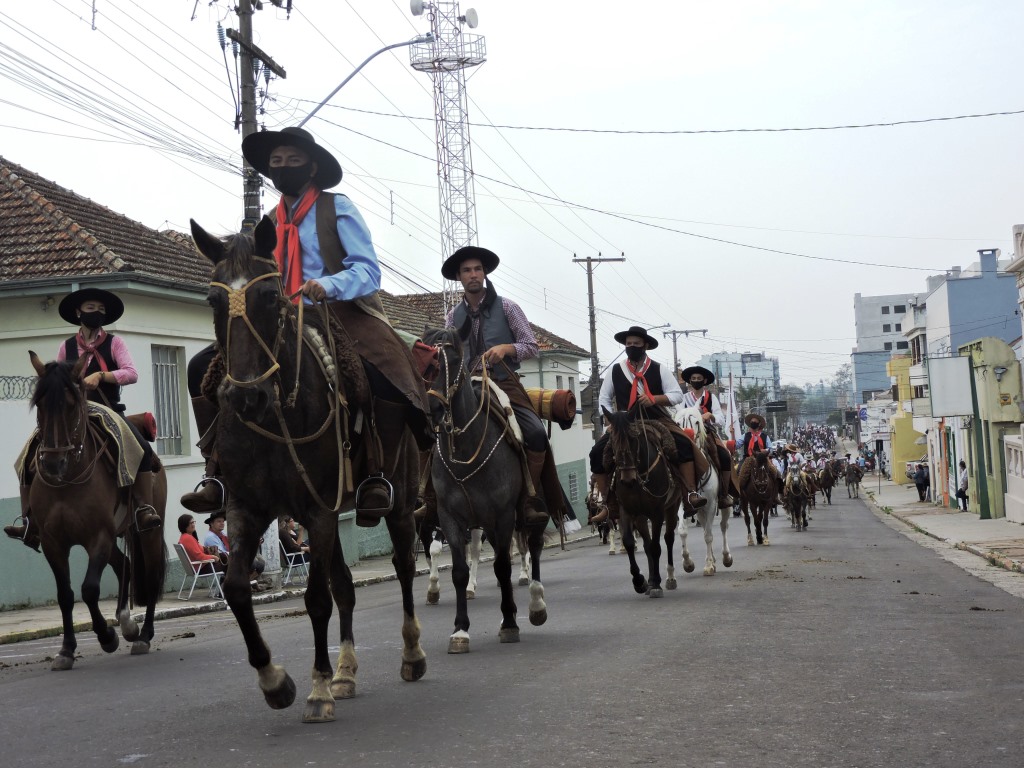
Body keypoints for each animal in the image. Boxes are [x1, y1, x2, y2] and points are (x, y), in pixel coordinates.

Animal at [25, 352, 167, 671]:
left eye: (70, 404)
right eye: (39, 404)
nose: (52, 464)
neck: (67, 480)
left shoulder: (98, 537)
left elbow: (89, 589)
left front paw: (107, 637)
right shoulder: (53, 543)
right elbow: (65, 595)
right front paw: (66, 650)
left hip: (149, 531)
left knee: (151, 576)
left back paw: (143, 635)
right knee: (123, 563)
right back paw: (127, 623)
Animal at [190, 218, 425, 729]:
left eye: (269, 297)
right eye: (213, 300)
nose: (246, 397)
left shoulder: (318, 510)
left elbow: (316, 598)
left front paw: (316, 691)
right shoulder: (248, 510)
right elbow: (236, 589)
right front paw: (275, 682)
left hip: (396, 503)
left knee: (403, 567)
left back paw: (411, 655)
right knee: (346, 587)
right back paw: (346, 672)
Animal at [419, 327, 548, 659]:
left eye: (453, 360)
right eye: (424, 362)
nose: (433, 408)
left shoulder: (502, 515)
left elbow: (502, 566)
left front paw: (510, 624)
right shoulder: (448, 518)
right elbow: (458, 570)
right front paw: (460, 630)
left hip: (526, 514)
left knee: (533, 547)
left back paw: (535, 603)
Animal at [598, 411, 679, 598]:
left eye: (633, 439)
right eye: (613, 440)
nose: (628, 480)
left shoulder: (657, 513)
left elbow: (657, 546)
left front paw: (656, 585)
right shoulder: (627, 511)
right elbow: (629, 542)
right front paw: (640, 581)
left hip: (672, 507)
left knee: (668, 539)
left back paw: (669, 579)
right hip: (641, 517)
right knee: (647, 545)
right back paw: (651, 581)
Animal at [675, 409, 733, 577]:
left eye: (697, 422)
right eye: (678, 422)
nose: (687, 436)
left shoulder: (711, 505)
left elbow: (708, 536)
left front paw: (708, 566)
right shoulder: (682, 505)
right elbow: (682, 531)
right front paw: (688, 563)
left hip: (725, 505)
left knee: (723, 526)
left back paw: (726, 557)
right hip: (700, 510)